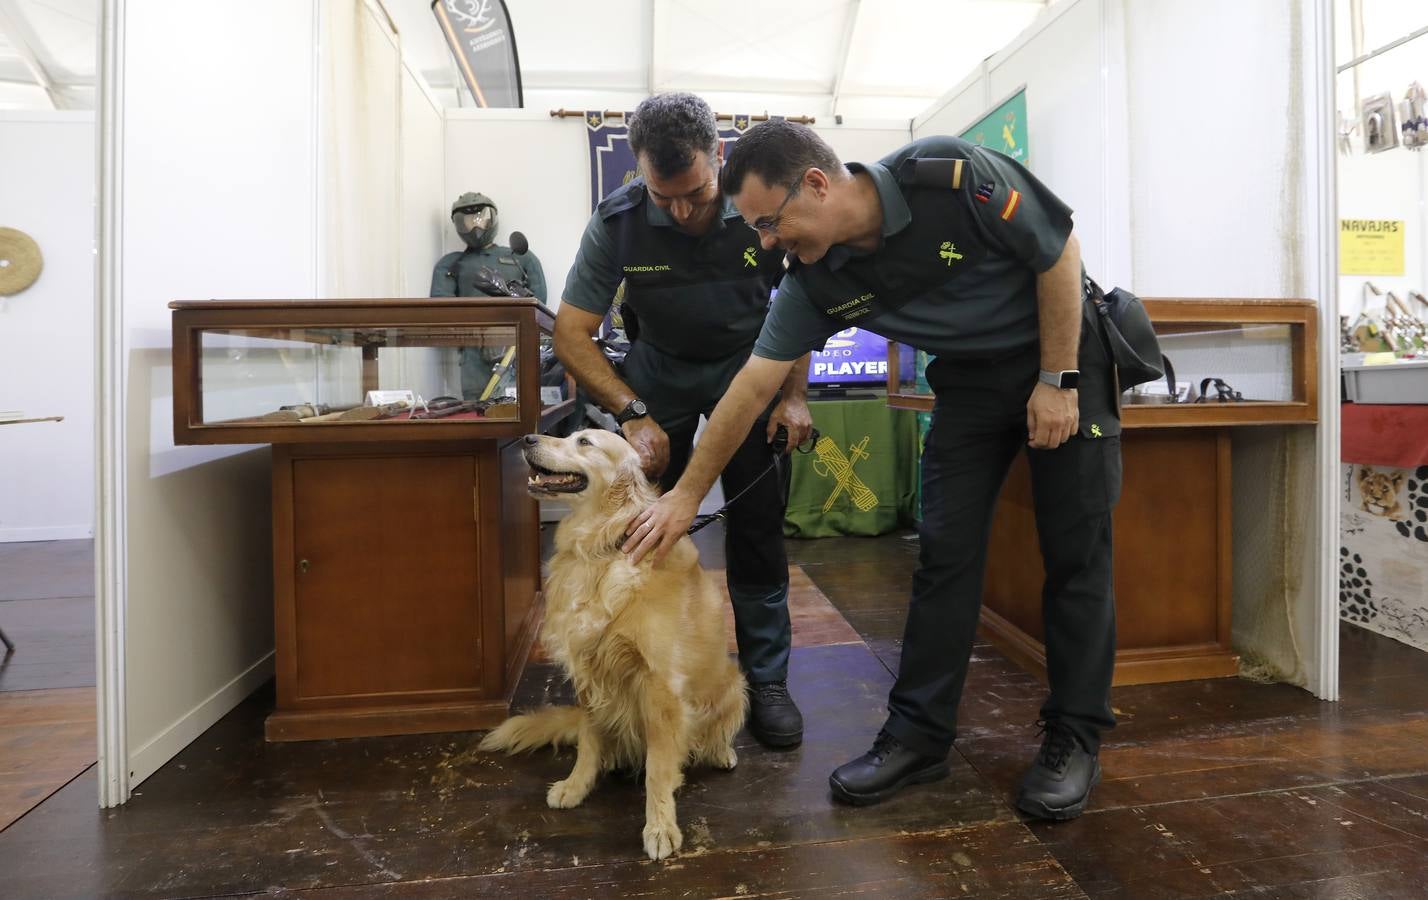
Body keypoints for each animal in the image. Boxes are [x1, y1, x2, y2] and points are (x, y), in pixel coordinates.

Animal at [479, 425, 748, 862]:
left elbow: (658, 767)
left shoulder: (660, 686)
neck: (603, 548)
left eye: (584, 442)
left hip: (734, 683)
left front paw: (660, 828)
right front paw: (576, 786)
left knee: (715, 731)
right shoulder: (590, 673)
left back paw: (721, 751)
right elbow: (589, 744)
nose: (527, 438)